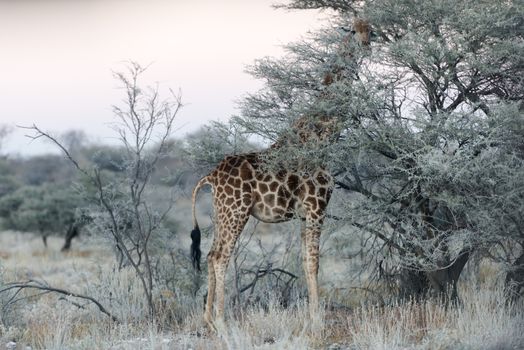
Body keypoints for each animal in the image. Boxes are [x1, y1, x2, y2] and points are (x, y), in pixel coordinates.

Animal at [190, 17, 370, 328]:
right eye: (353, 30)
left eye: (372, 30)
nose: (367, 45)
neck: (322, 138)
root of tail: (211, 176)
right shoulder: (316, 207)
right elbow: (314, 261)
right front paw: (317, 319)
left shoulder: (304, 213)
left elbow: (305, 261)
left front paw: (311, 315)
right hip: (236, 212)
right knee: (221, 256)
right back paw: (223, 321)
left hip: (221, 212)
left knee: (211, 253)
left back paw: (209, 319)